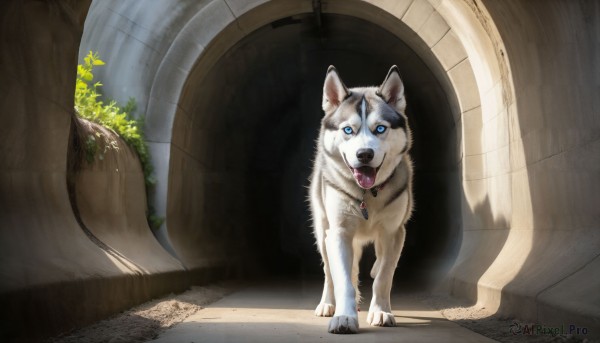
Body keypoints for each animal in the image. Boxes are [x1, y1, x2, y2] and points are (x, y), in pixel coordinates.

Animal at [310, 66, 412, 334]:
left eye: (380, 129)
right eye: (348, 130)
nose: (364, 154)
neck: (367, 194)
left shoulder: (393, 231)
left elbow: (385, 275)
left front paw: (381, 311)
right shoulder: (339, 232)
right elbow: (344, 280)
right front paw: (345, 317)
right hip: (322, 230)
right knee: (329, 271)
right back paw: (327, 303)